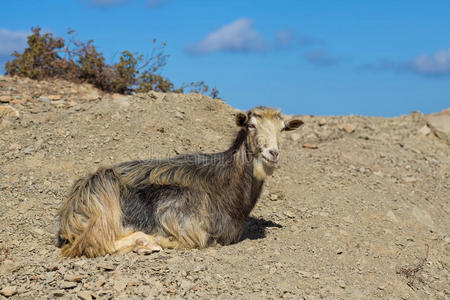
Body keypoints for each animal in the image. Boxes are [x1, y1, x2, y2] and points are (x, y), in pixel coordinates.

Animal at [56, 106, 302, 256]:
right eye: (251, 125)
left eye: (283, 129)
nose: (273, 153)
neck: (225, 182)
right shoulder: (182, 219)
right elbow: (197, 240)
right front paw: (159, 240)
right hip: (105, 202)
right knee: (94, 242)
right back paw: (146, 242)